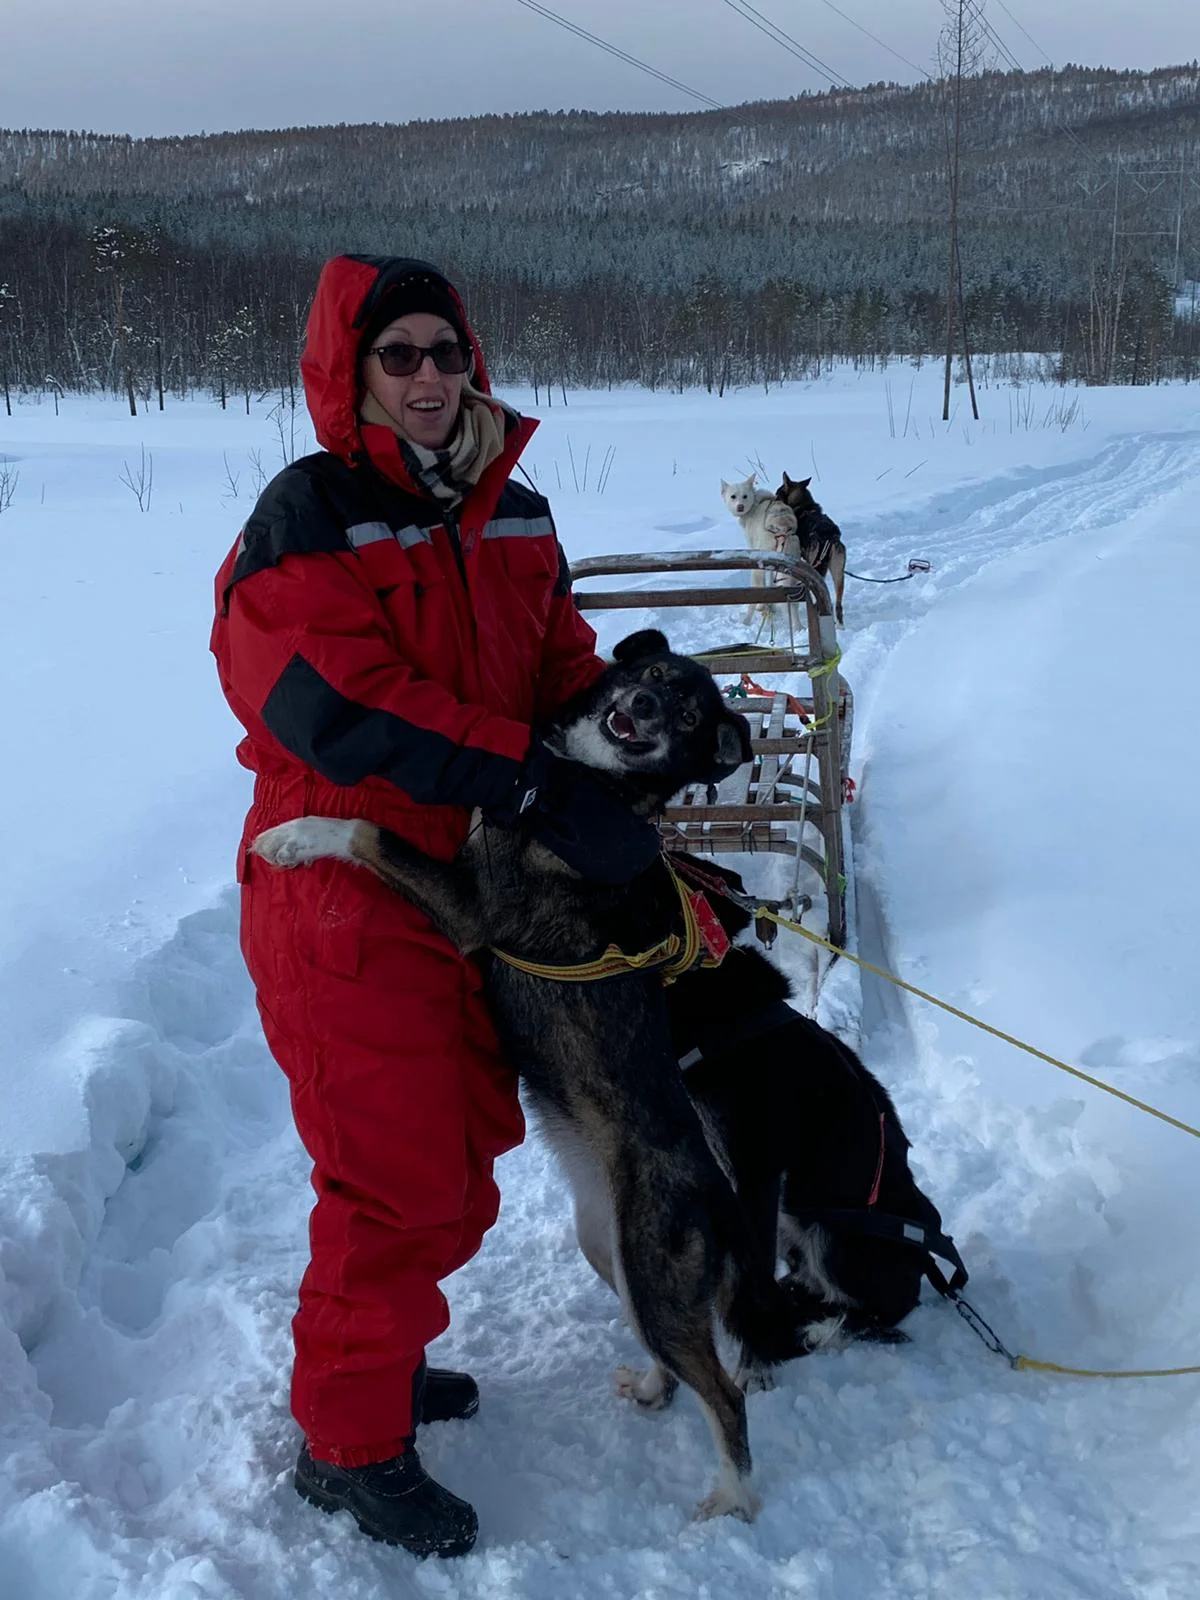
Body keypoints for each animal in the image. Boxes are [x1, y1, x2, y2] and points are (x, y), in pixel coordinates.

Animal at [252, 629, 836, 1523]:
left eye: (691, 714)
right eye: (654, 674)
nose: (643, 708)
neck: (587, 793)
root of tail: (717, 1191)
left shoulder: (469, 910)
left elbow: (362, 831)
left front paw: (292, 837)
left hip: (650, 1269)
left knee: (723, 1391)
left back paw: (732, 1495)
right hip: (611, 1251)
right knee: (679, 1359)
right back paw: (651, 1389)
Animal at [664, 854, 961, 1370]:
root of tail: (922, 1255)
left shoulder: (756, 1169)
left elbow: (751, 1268)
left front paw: (756, 1353)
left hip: (830, 1232)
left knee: (883, 1308)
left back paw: (828, 1327)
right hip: (795, 1221)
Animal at [720, 474, 799, 627]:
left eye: (745, 496)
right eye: (733, 496)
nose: (740, 506)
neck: (755, 504)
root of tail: (781, 529)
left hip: (756, 570)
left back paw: (747, 619)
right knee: (793, 604)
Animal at [774, 473, 847, 626]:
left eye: (778, 493)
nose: (773, 499)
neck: (803, 505)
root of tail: (828, 537)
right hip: (838, 572)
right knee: (838, 604)